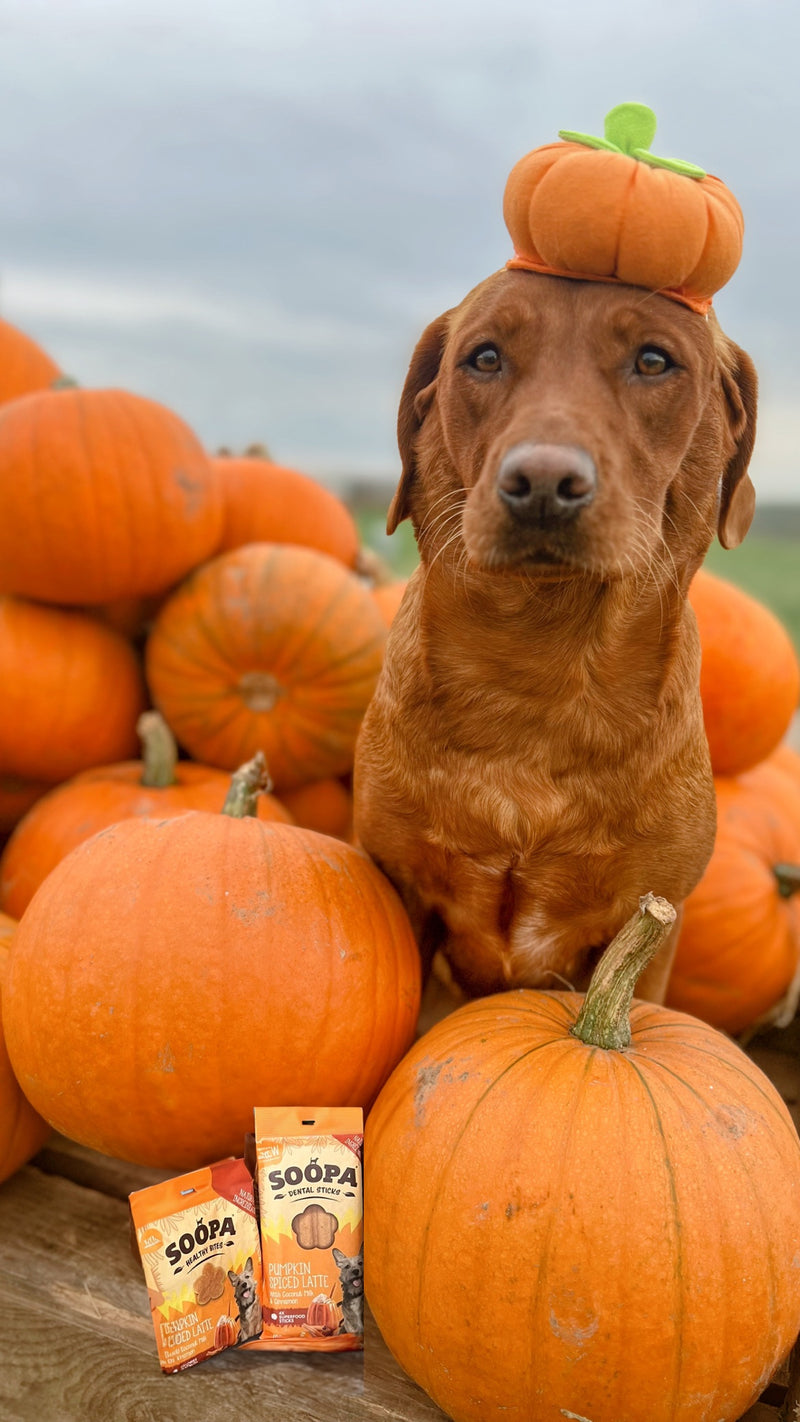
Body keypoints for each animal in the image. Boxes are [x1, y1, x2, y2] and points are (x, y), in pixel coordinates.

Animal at [355, 268, 755, 1001]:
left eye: (653, 361)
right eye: (485, 357)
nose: (542, 481)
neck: (539, 679)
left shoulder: (653, 923)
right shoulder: (402, 882)